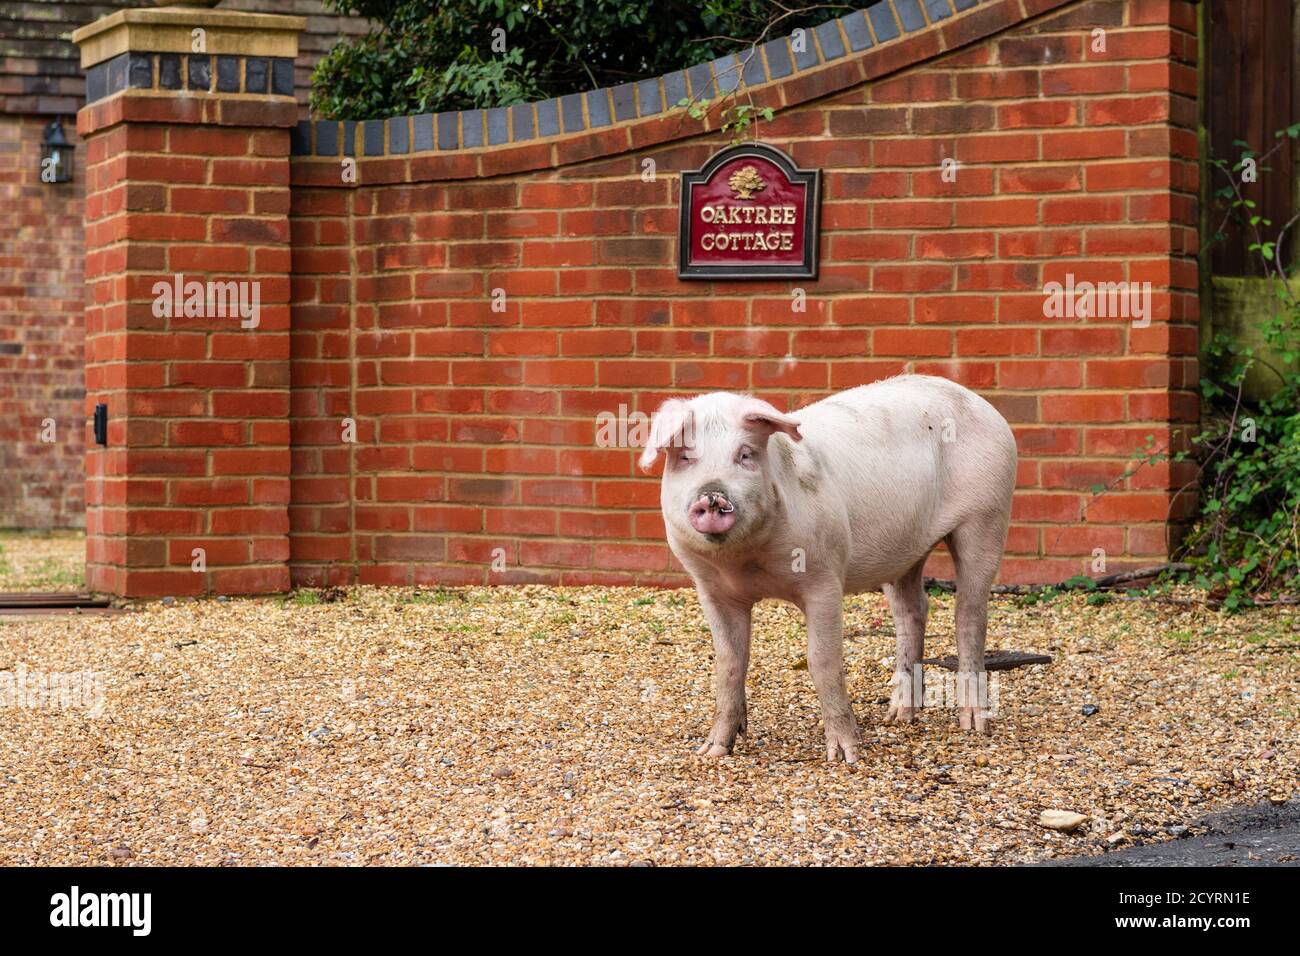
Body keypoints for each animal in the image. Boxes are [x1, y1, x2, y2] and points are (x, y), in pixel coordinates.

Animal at [639, 374, 1013, 764]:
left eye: (745, 455)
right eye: (686, 457)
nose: (712, 496)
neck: (747, 563)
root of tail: (980, 402)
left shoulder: (824, 577)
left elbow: (822, 661)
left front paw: (846, 755)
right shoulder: (711, 590)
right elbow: (729, 663)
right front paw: (713, 751)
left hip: (988, 514)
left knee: (969, 614)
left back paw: (972, 724)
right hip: (906, 550)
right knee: (913, 611)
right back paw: (897, 715)